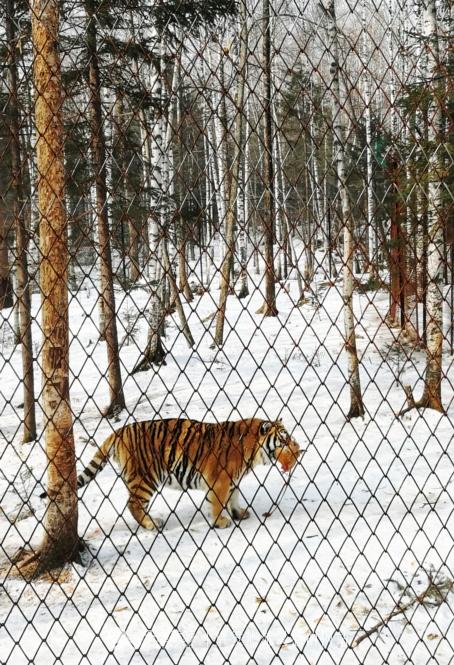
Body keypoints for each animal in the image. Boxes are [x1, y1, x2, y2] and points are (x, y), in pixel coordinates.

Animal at [72, 420, 304, 528]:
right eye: (283, 439)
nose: (297, 447)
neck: (253, 451)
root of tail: (119, 431)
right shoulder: (219, 479)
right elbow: (218, 502)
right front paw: (221, 522)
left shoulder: (233, 480)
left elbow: (234, 497)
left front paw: (239, 513)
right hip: (145, 477)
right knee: (133, 504)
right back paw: (151, 524)